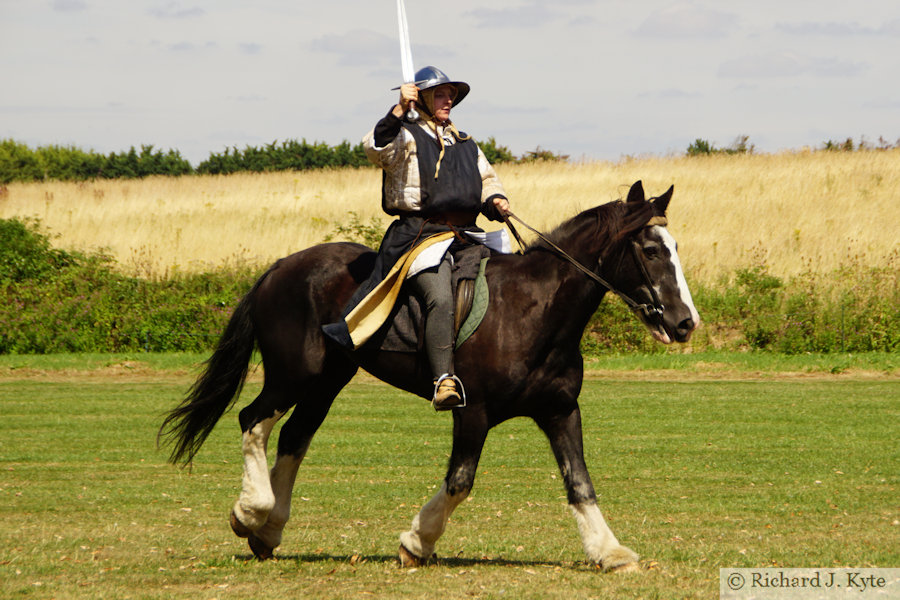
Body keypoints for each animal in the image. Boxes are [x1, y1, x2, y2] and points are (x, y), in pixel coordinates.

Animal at [158, 179, 700, 572]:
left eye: (674, 245)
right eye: (652, 250)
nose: (684, 322)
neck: (535, 310)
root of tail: (280, 267)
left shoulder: (560, 411)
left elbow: (580, 483)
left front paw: (609, 551)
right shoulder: (473, 412)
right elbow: (460, 481)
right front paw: (416, 542)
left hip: (329, 380)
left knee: (294, 436)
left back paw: (267, 529)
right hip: (295, 374)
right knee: (254, 420)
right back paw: (250, 511)